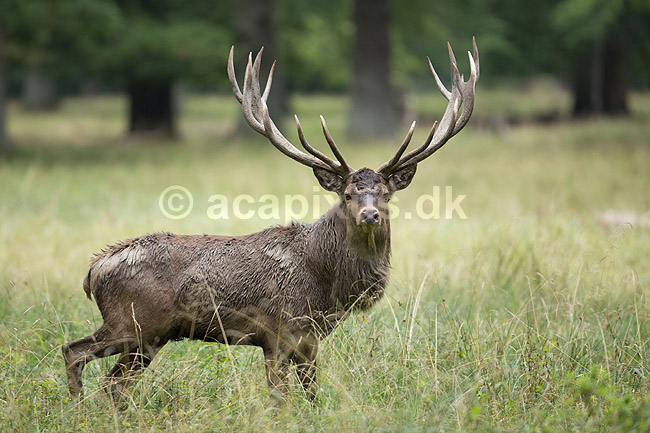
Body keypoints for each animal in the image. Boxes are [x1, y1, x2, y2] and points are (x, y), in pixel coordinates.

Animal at [62, 39, 479, 404]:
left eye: (386, 194)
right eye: (347, 195)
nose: (371, 214)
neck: (327, 281)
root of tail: (93, 271)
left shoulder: (308, 339)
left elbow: (312, 397)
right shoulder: (280, 331)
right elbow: (281, 400)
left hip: (149, 336)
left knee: (110, 381)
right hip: (134, 324)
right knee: (77, 353)